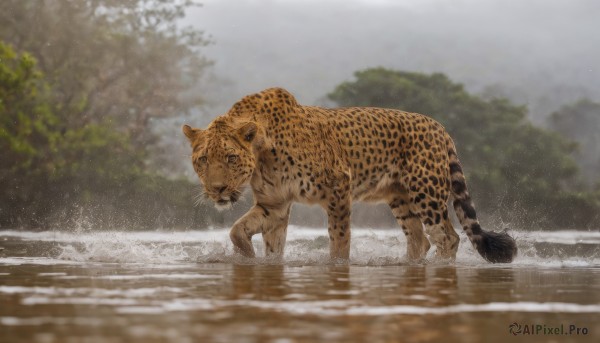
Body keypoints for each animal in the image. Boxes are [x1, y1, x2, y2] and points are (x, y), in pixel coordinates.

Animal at [183, 86, 516, 264]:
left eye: (231, 157)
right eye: (202, 160)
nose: (217, 189)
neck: (263, 150)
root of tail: (440, 127)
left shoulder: (338, 186)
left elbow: (339, 238)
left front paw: (337, 265)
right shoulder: (274, 204)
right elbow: (241, 232)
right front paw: (248, 258)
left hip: (426, 193)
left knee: (447, 236)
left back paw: (439, 268)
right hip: (401, 198)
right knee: (419, 238)